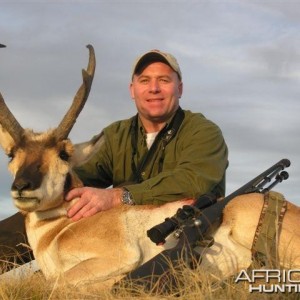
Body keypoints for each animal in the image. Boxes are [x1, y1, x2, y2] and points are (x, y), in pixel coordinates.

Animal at [0, 45, 298, 288]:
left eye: (63, 153)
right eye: (12, 154)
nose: (23, 187)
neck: (61, 227)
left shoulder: (120, 257)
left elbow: (57, 285)